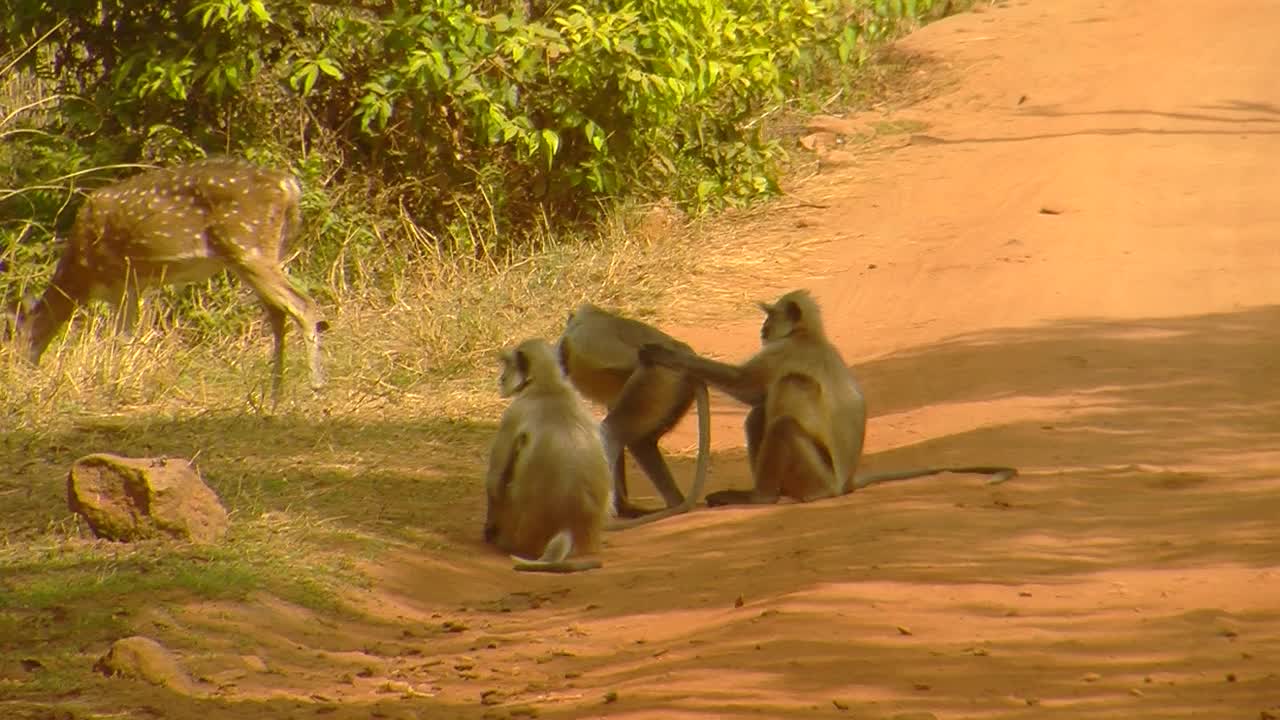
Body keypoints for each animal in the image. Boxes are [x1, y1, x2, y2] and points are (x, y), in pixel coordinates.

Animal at [13, 158, 327, 404]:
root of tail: (288, 186)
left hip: (248, 248)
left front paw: (114, 385)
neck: (82, 273)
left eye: (15, 337)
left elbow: (120, 338)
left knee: (303, 305)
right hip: (262, 253)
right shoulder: (135, 285)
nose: (20, 370)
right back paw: (275, 394)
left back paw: (315, 385)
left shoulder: (120, 278)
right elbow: (127, 336)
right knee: (279, 313)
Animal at [483, 338, 614, 571]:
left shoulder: (514, 413)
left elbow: (495, 483)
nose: (501, 379)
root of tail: (568, 527)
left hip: (520, 533)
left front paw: (488, 529)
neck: (549, 385)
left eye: (508, 365)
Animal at [640, 286, 1018, 504]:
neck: (809, 335)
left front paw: (666, 355)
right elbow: (755, 399)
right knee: (762, 412)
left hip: (816, 474)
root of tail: (845, 482)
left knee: (786, 407)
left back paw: (761, 497)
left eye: (770, 317)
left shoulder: (786, 351)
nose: (762, 328)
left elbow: (744, 386)